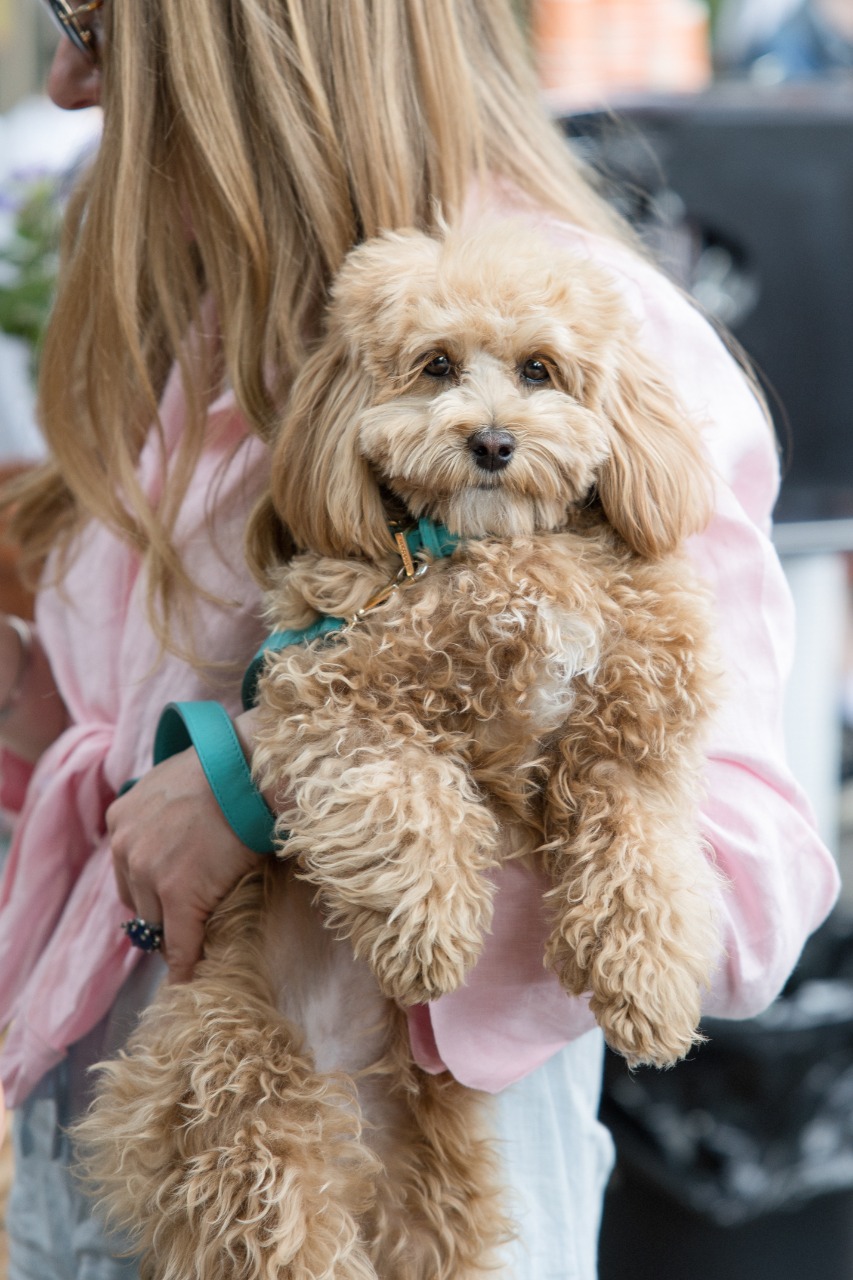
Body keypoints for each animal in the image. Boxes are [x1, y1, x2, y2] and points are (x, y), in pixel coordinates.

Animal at [78, 222, 717, 1280]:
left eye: (539, 369)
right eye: (437, 366)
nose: (491, 442)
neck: (490, 551)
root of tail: (351, 1108)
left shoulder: (622, 743)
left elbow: (642, 850)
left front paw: (649, 989)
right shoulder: (326, 694)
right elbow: (403, 794)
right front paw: (427, 936)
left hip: (437, 1186)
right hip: (240, 1105)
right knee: (277, 1222)